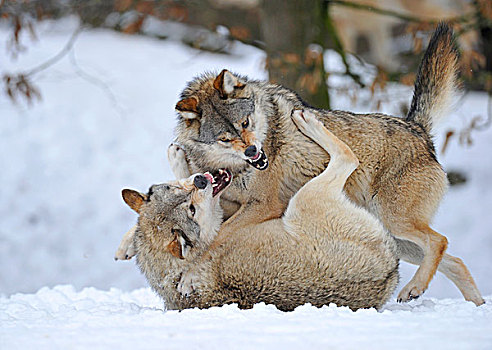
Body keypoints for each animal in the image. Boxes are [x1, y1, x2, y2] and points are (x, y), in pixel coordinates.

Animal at [123, 110, 400, 312]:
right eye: (191, 210)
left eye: (179, 193)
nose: (201, 181)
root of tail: (389, 271)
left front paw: (178, 156)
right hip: (302, 200)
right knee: (348, 158)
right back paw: (307, 121)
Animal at [168, 23, 484, 304]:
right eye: (225, 138)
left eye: (245, 123)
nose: (253, 151)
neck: (232, 166)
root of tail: (417, 128)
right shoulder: (228, 203)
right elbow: (200, 205)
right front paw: (181, 160)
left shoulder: (262, 206)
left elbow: (215, 238)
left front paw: (189, 276)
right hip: (397, 239)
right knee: (454, 260)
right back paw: (471, 304)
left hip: (396, 222)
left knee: (440, 241)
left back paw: (415, 288)